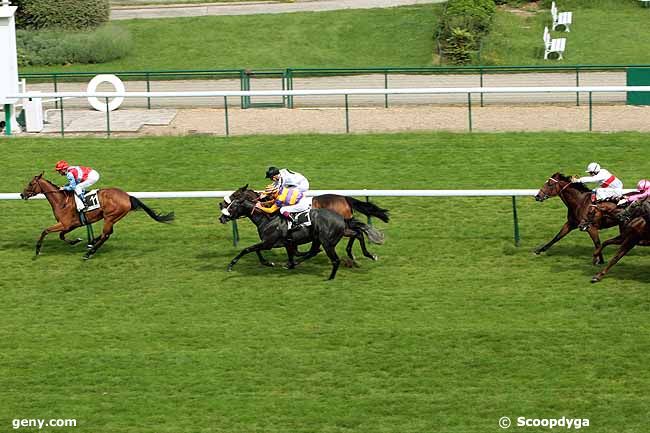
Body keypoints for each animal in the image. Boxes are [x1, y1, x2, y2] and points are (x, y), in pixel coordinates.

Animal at [20, 173, 175, 260]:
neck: (61, 201)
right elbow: (62, 236)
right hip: (112, 218)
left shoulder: (65, 224)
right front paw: (76, 241)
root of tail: (127, 196)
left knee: (106, 234)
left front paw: (38, 250)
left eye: (31, 183)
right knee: (107, 233)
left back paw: (89, 253)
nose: (22, 194)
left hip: (110, 217)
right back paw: (92, 243)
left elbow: (45, 231)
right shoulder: (71, 225)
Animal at [218, 190, 382, 278]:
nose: (221, 215)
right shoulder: (279, 243)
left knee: (355, 234)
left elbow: (247, 249)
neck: (267, 218)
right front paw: (271, 262)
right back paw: (364, 255)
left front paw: (231, 265)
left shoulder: (269, 242)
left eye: (233, 200)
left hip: (328, 237)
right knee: (357, 233)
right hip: (331, 234)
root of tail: (344, 198)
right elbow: (260, 251)